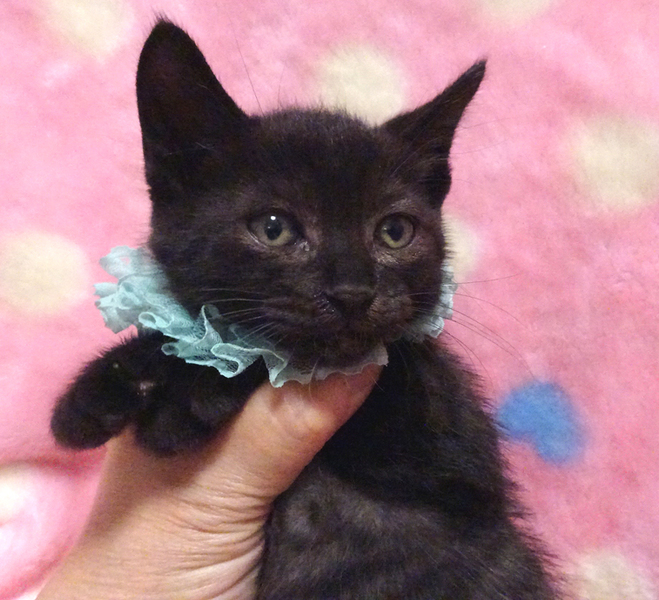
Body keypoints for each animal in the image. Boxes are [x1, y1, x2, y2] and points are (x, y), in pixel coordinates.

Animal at [52, 20, 560, 600]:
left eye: (395, 231)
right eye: (273, 228)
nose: (353, 292)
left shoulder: (448, 440)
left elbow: (281, 360)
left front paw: (184, 397)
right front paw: (97, 392)